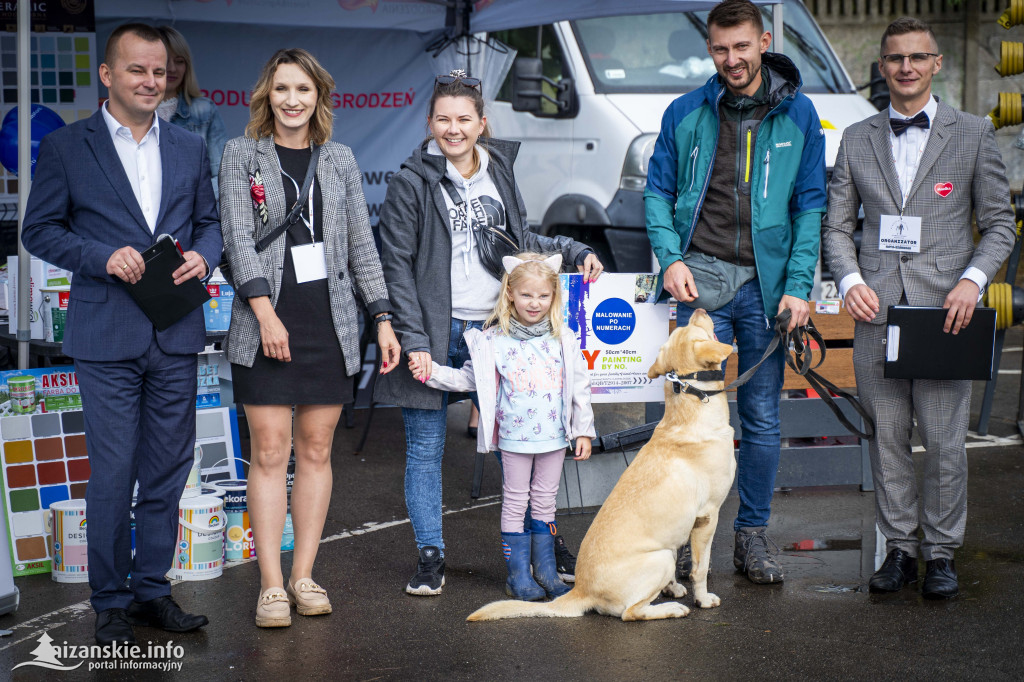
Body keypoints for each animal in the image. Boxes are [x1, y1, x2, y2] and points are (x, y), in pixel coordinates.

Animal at [471, 311, 737, 618]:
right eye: (698, 328)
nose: (699, 311)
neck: (688, 412)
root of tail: (581, 591)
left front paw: (675, 588)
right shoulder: (708, 516)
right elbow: (700, 568)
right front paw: (702, 599)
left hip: (665, 553)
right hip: (659, 560)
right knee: (631, 612)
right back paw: (670, 608)